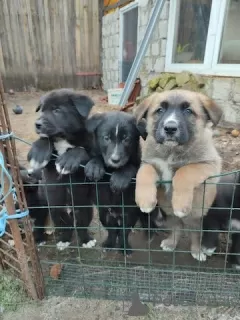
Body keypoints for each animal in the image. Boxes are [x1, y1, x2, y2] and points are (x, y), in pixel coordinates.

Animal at [27, 89, 95, 251]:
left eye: (57, 110)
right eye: (42, 110)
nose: (37, 124)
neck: (63, 138)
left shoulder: (92, 151)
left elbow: (81, 150)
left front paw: (68, 161)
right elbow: (45, 139)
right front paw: (39, 151)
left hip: (84, 206)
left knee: (81, 225)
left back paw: (86, 240)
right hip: (53, 206)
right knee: (64, 224)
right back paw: (60, 239)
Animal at [84, 111, 161, 256]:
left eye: (127, 139)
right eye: (106, 138)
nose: (115, 160)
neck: (114, 169)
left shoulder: (137, 164)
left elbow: (131, 167)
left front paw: (119, 178)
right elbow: (98, 157)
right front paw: (94, 166)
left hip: (134, 212)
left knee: (129, 228)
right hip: (105, 213)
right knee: (113, 229)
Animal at [134, 89, 222, 262]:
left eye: (188, 111)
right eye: (160, 110)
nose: (170, 128)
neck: (171, 151)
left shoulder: (210, 164)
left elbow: (184, 171)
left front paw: (181, 204)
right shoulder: (149, 162)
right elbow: (144, 173)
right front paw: (145, 201)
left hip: (197, 216)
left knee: (195, 235)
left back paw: (197, 251)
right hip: (169, 213)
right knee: (177, 228)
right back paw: (171, 243)